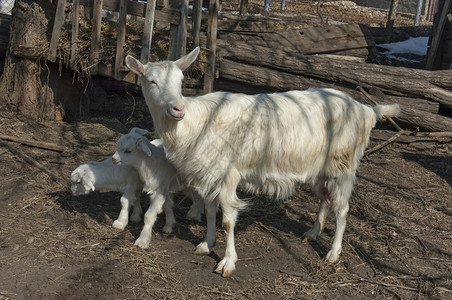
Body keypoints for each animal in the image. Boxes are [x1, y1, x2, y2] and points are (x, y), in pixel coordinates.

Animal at [125, 46, 400, 276]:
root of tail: (366, 110)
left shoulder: (228, 173)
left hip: (343, 165)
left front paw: (227, 262)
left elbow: (227, 220)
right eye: (152, 81)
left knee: (342, 208)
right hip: (320, 169)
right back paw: (313, 233)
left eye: (181, 81)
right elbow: (210, 211)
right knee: (325, 199)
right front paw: (206, 244)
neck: (195, 124)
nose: (178, 109)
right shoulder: (210, 174)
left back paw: (333, 253)